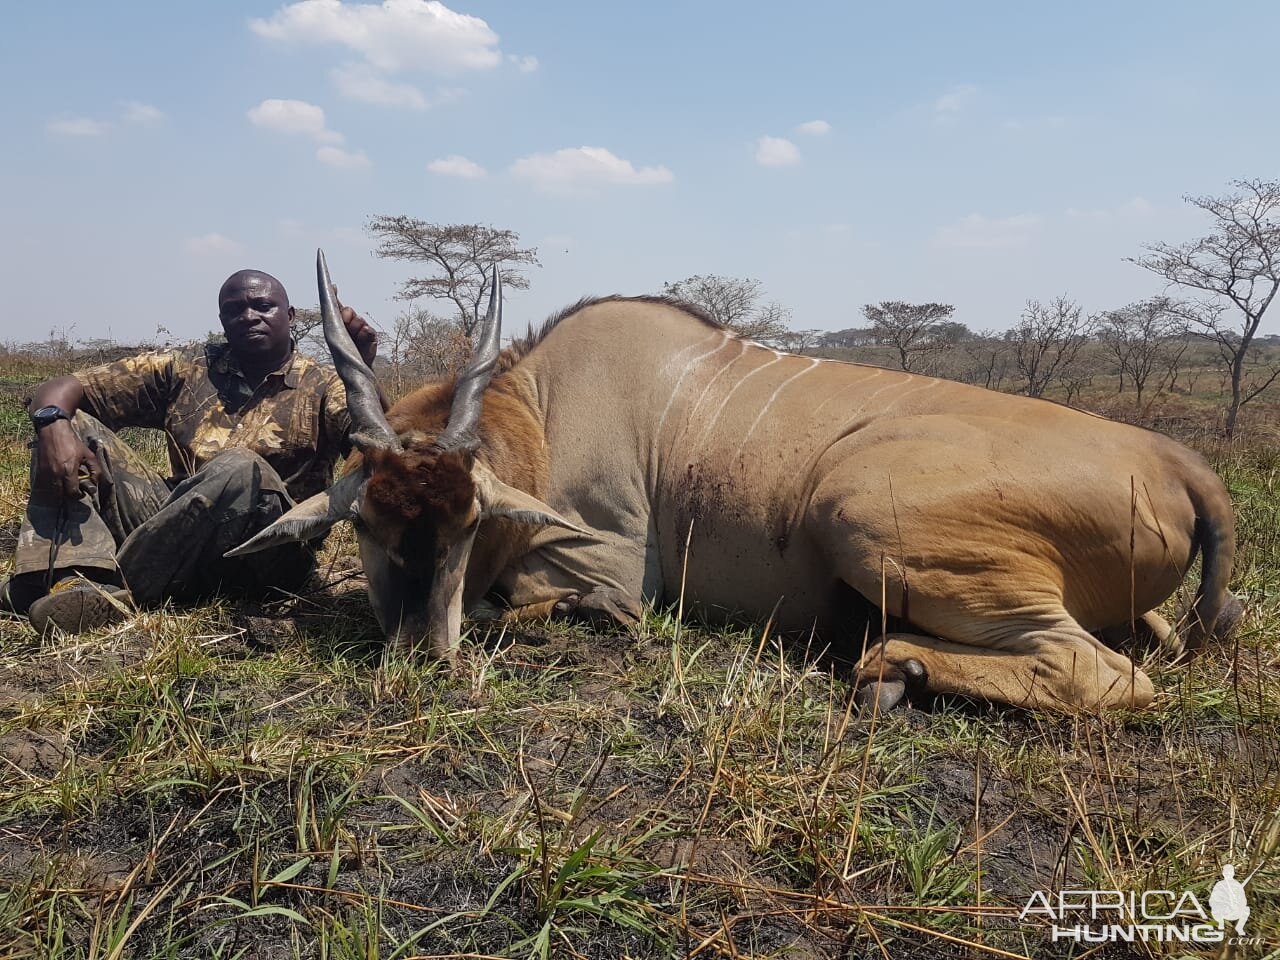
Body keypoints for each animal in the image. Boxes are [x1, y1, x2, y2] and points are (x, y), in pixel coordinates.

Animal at [230, 253, 1239, 716]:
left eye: (471, 521)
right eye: (365, 523)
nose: (417, 652)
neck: (545, 406)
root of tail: (1177, 463)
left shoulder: (608, 574)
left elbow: (525, 604)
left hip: (860, 515)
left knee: (1106, 674)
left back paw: (894, 666)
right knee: (1145, 645)